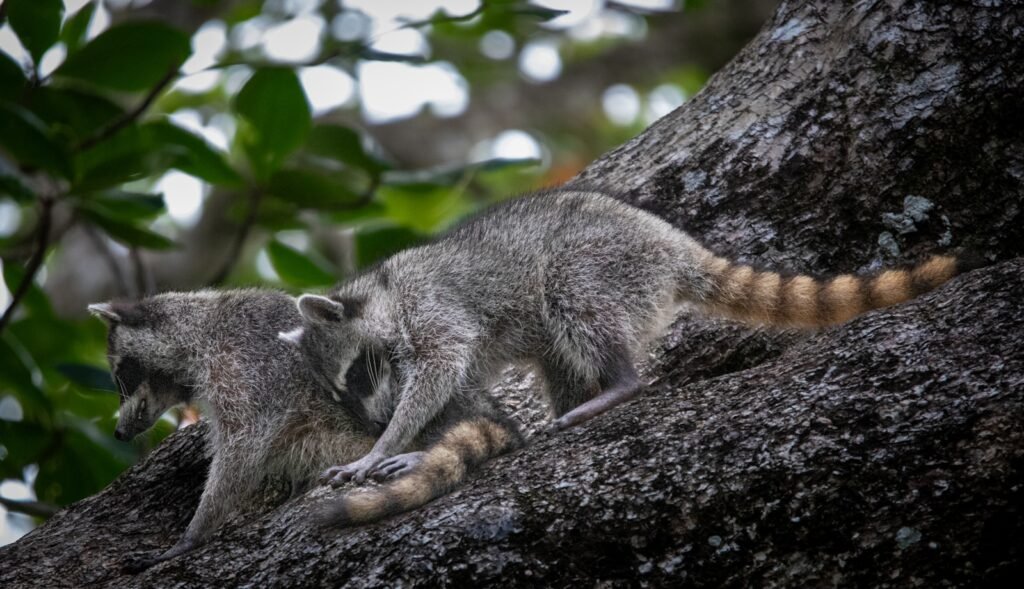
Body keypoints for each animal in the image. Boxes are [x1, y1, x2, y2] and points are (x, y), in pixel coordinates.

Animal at [286, 188, 982, 484]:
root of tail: (671, 244)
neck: (379, 293)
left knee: (575, 299)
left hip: (604, 260)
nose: (372, 422)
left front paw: (389, 445)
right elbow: (461, 391)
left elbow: (436, 373)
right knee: (557, 352)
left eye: (358, 376)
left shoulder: (432, 311)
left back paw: (618, 384)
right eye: (343, 393)